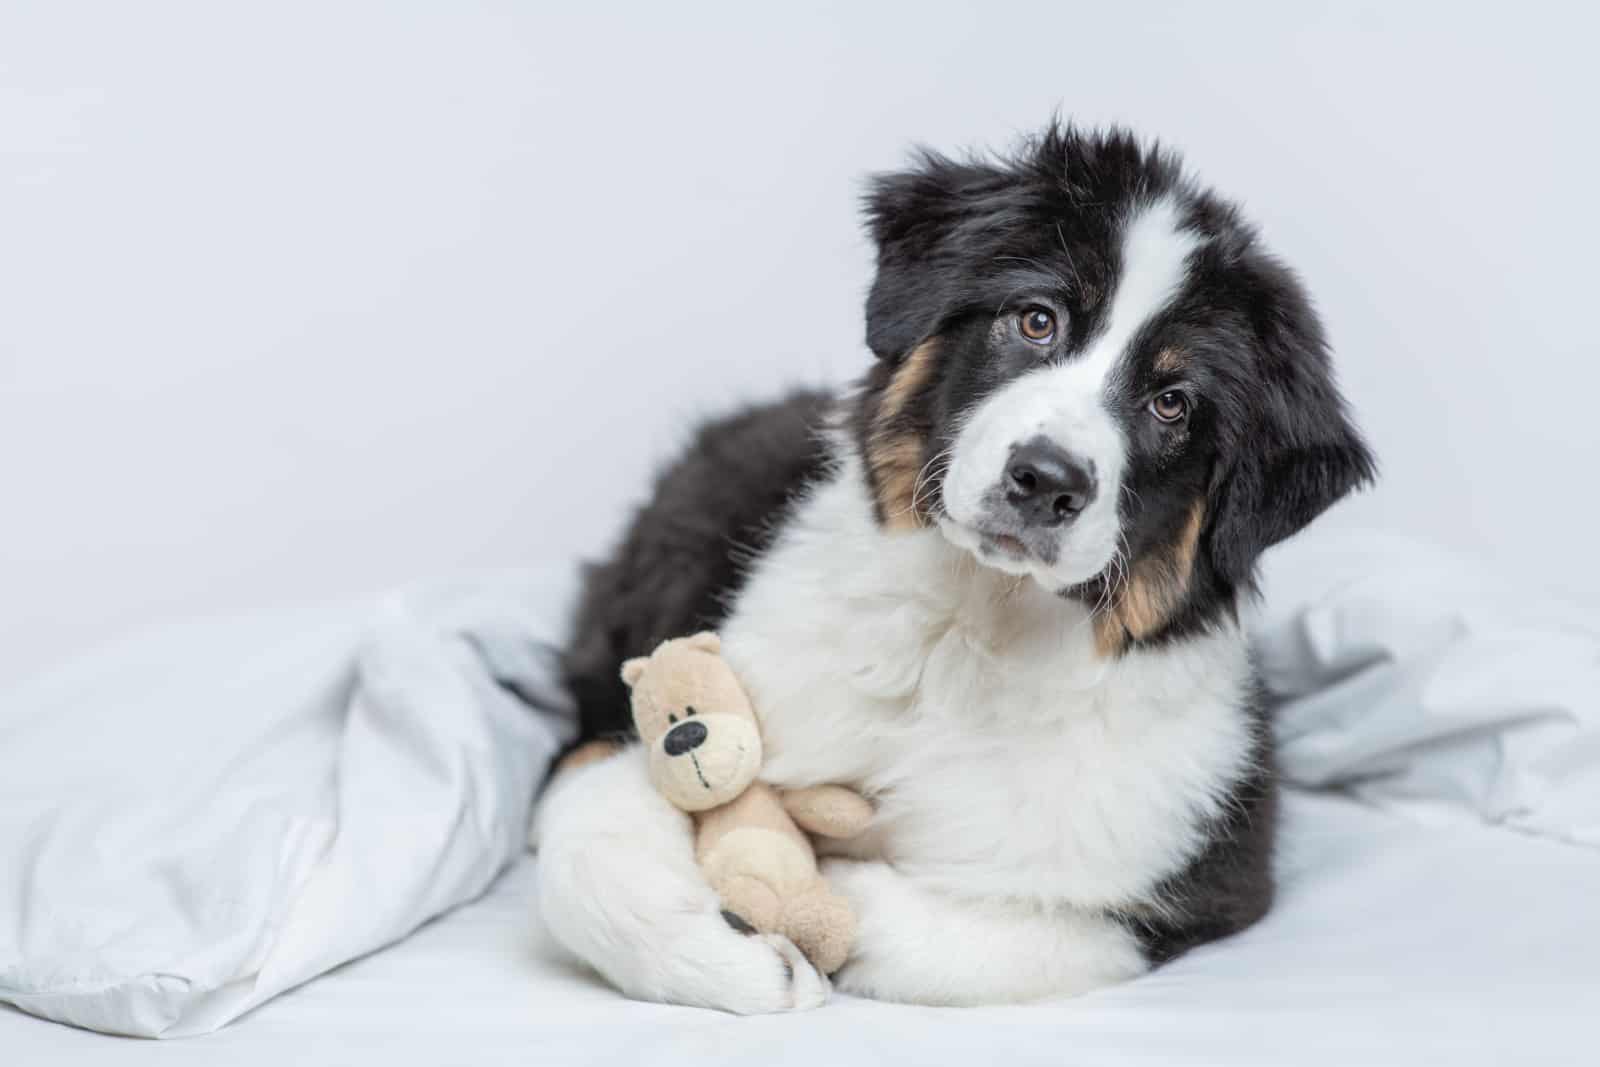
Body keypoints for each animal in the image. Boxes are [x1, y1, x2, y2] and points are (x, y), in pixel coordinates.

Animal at [534, 123, 1376, 1011]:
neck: (966, 632)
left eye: (1172, 403)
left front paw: (819, 889)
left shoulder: (1205, 869)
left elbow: (994, 931)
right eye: (1036, 319)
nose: (1045, 480)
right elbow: (586, 832)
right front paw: (732, 955)